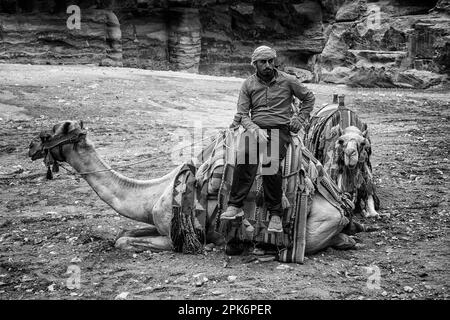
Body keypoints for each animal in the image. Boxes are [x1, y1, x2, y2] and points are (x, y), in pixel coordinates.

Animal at [29, 120, 364, 258]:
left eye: (48, 134)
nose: (31, 147)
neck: (154, 194)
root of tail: (341, 207)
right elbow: (122, 233)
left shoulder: (175, 236)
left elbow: (123, 241)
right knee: (344, 239)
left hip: (315, 225)